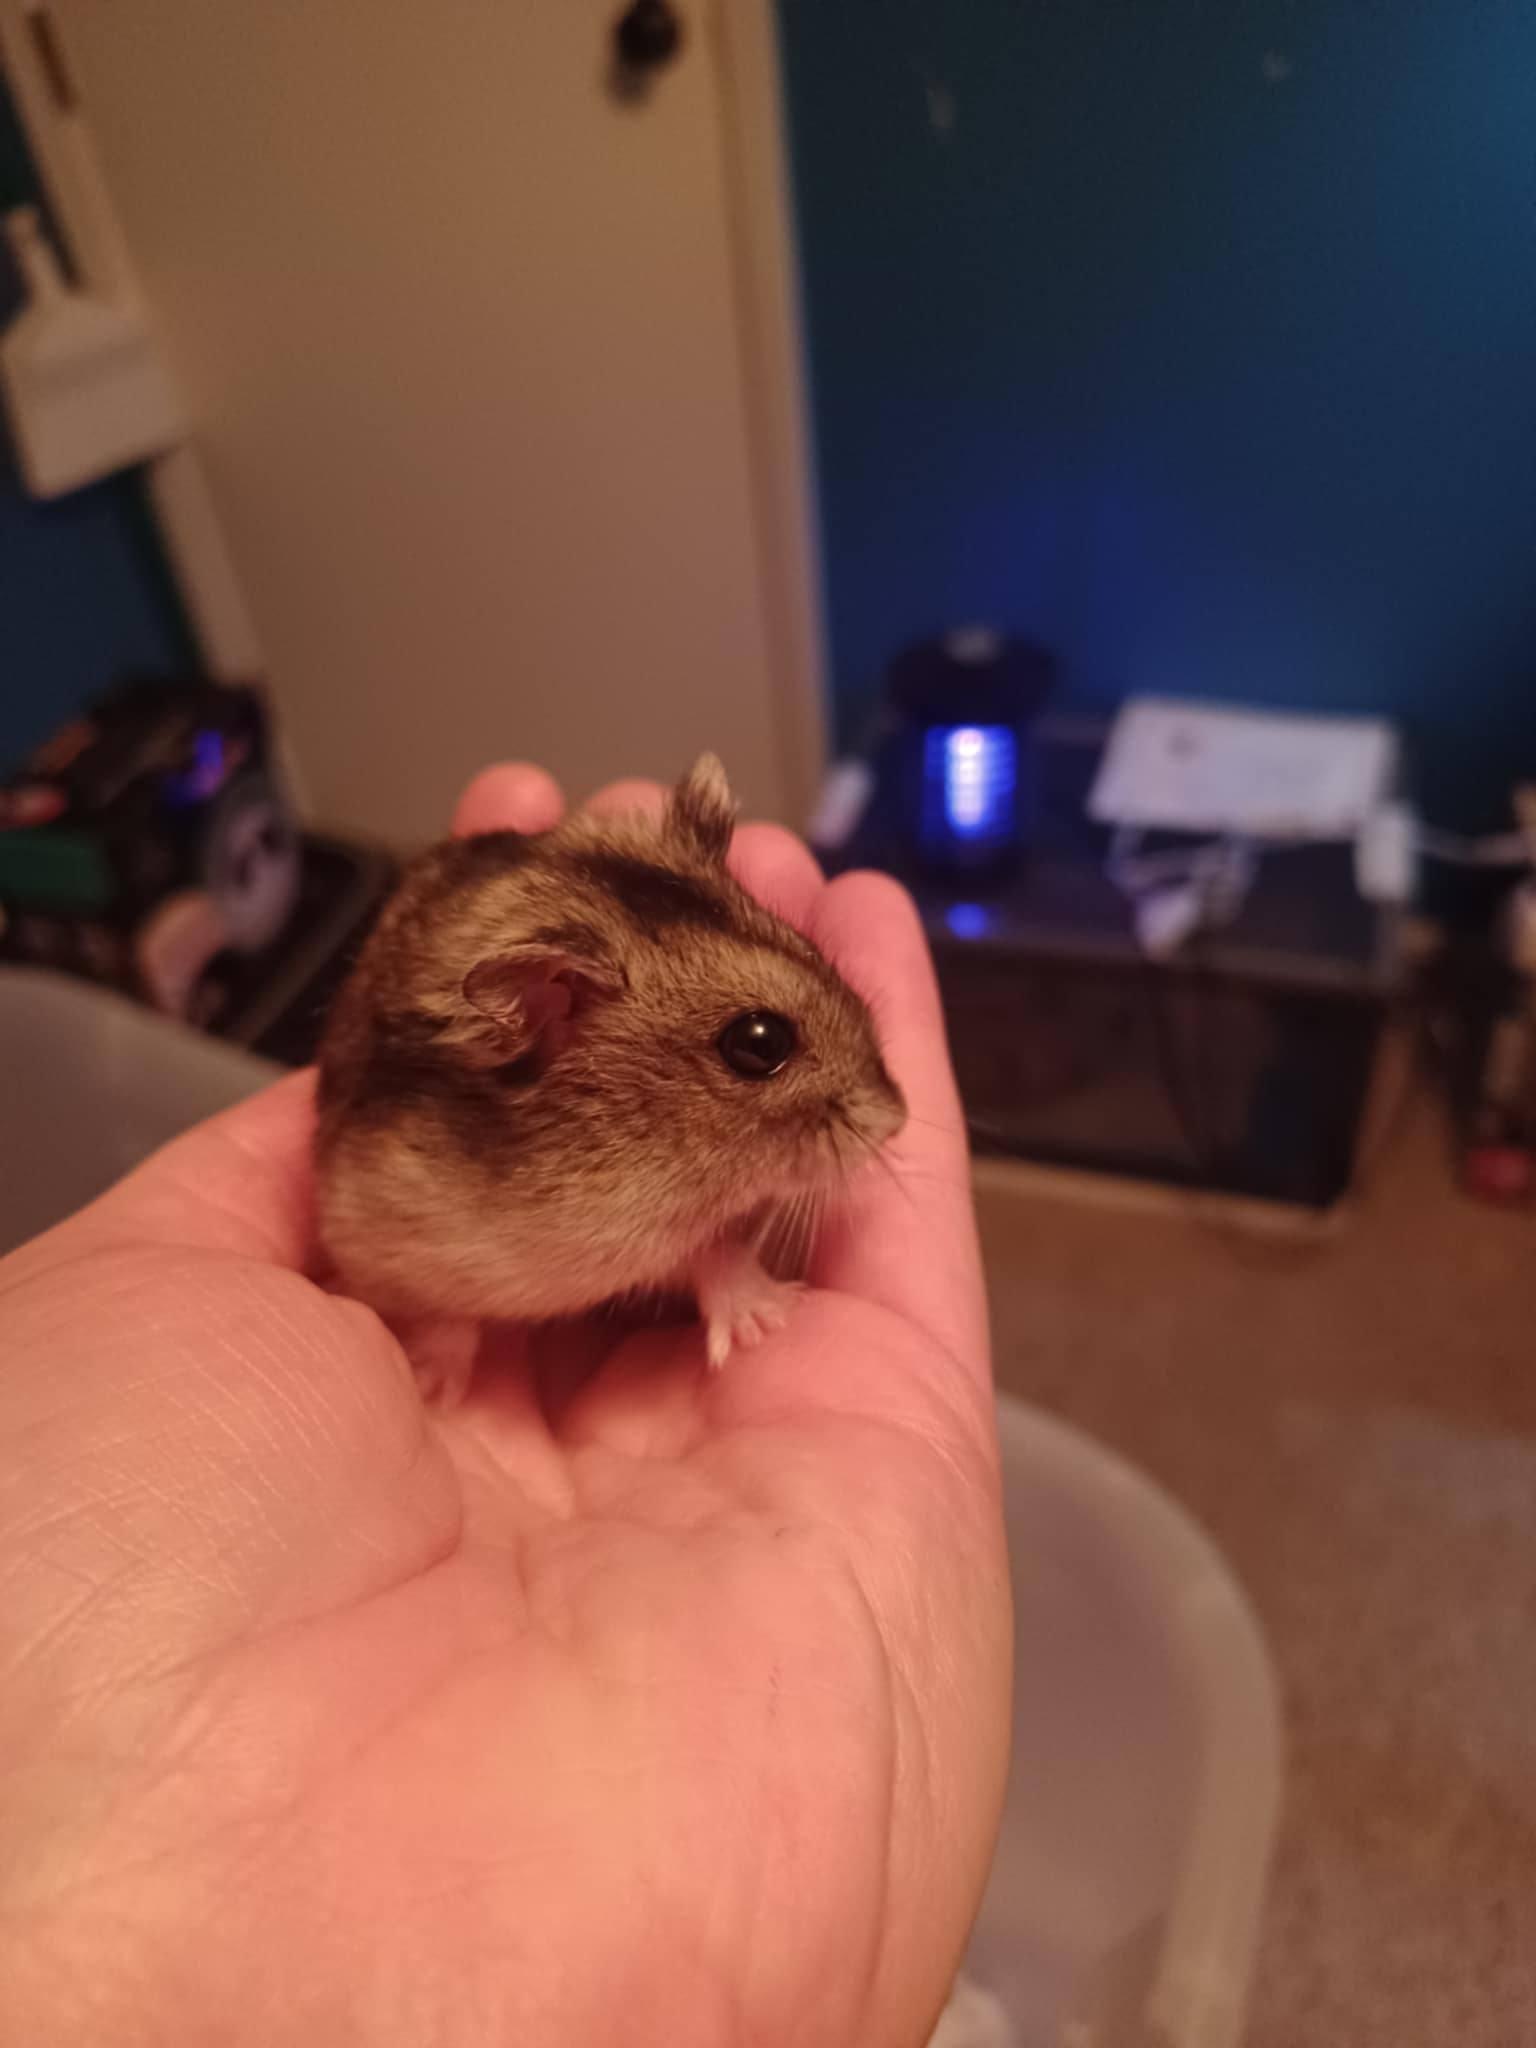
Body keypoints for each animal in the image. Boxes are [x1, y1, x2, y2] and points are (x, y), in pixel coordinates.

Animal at [314, 754, 905, 1401]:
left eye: (810, 949)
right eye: (759, 1043)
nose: (896, 1117)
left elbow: (713, 1254)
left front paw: (769, 1318)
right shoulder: (372, 1234)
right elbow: (442, 1316)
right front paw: (432, 1391)